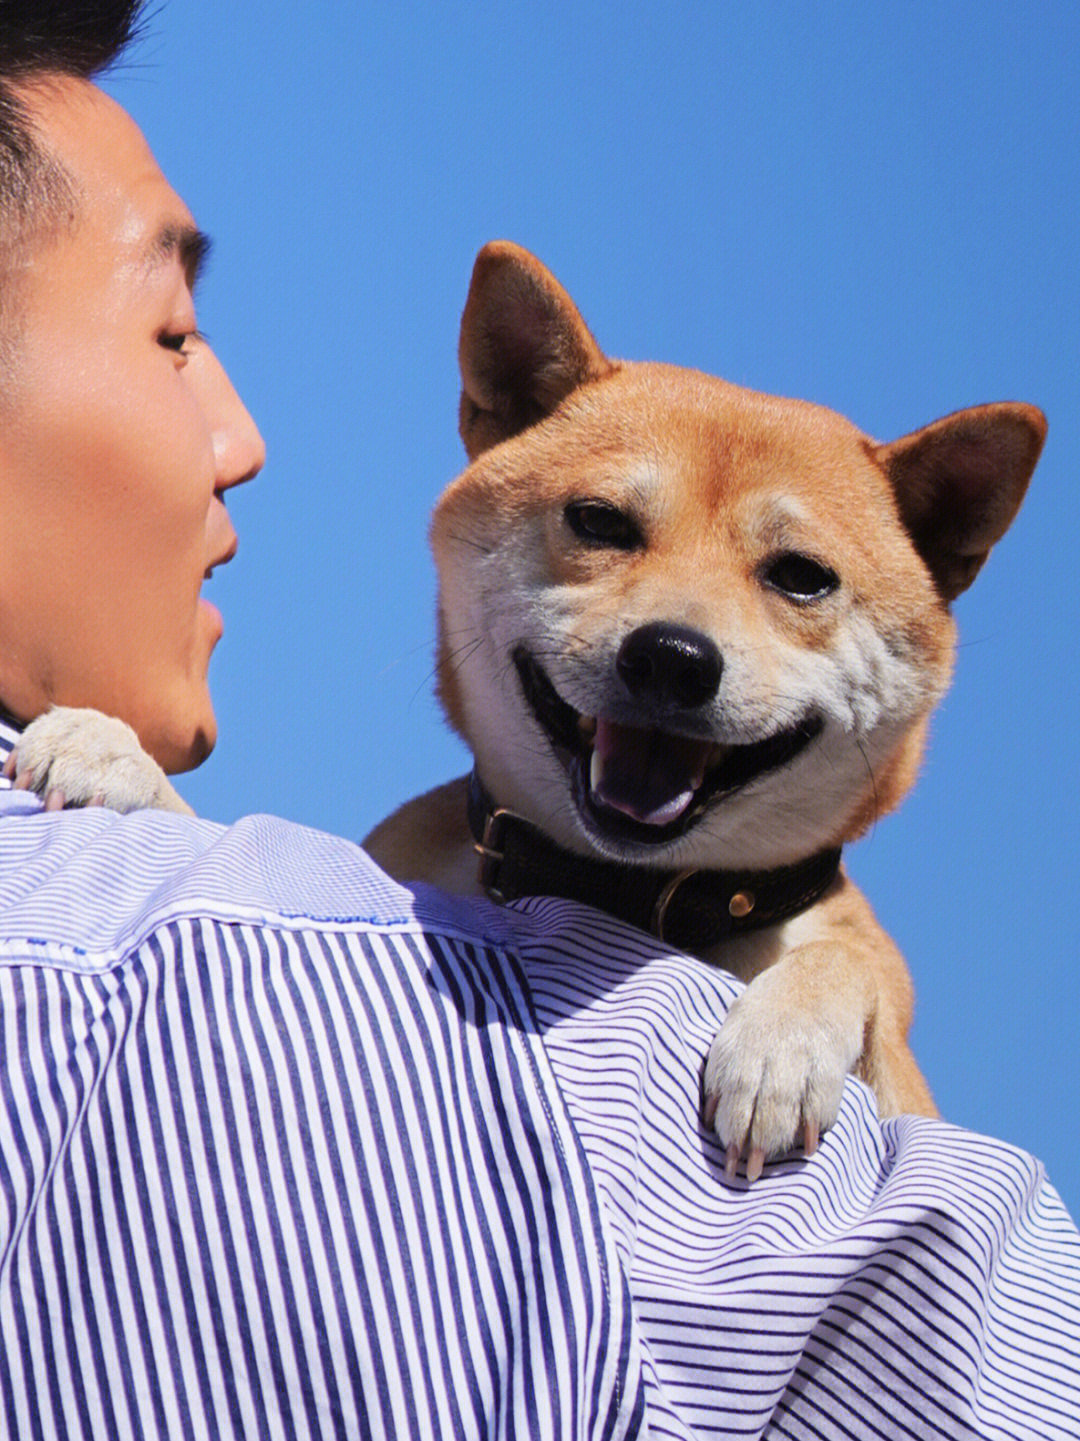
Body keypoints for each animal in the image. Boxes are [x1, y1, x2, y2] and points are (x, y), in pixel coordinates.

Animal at [4, 242, 1038, 1175]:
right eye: (600, 521)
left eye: (801, 578)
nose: (673, 658)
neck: (620, 891)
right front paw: (111, 750)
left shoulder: (885, 1034)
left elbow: (853, 964)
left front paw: (781, 1040)